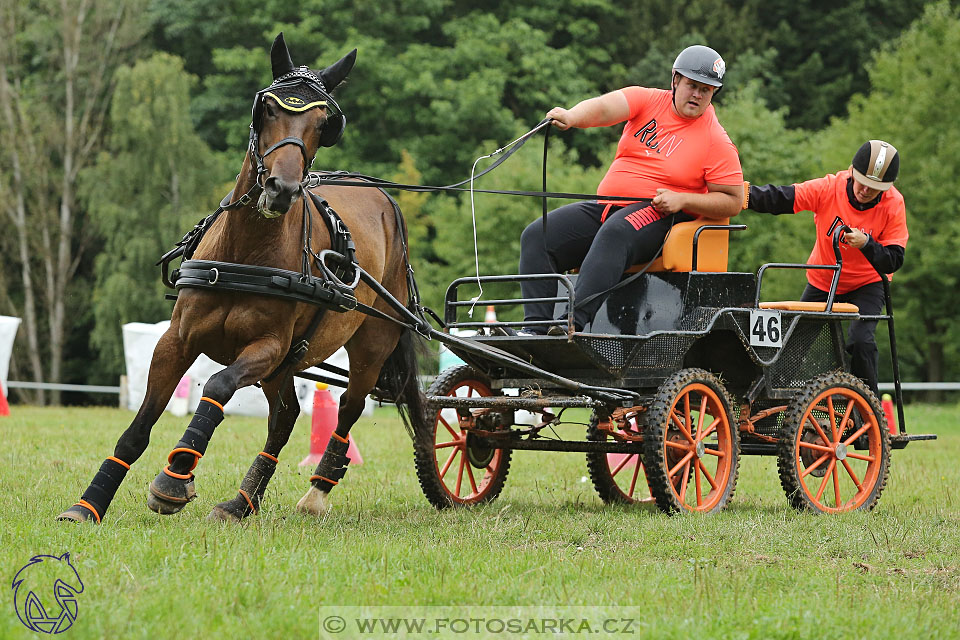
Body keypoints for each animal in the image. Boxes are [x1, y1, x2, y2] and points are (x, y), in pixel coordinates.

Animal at [56, 32, 424, 524]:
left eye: (323, 123)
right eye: (266, 108)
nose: (281, 190)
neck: (246, 252)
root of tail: (384, 200)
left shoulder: (267, 348)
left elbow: (217, 385)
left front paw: (175, 478)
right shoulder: (176, 340)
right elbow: (141, 424)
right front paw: (89, 504)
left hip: (369, 345)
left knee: (349, 408)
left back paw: (316, 493)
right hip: (286, 367)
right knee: (285, 416)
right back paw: (241, 502)